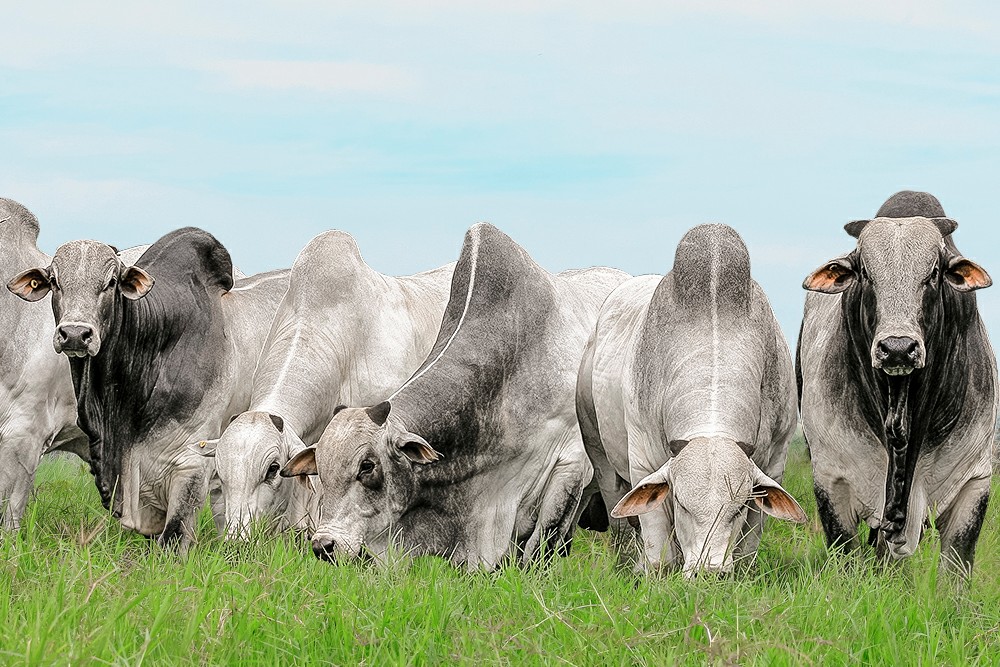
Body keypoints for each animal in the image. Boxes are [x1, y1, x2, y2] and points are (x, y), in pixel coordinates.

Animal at [580, 226, 804, 580]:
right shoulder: (643, 461)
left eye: (738, 508)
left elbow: (748, 549)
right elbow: (660, 556)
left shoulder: (774, 463)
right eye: (683, 504)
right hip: (600, 455)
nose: (708, 571)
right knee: (622, 528)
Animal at [796, 189, 992, 576]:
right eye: (864, 273)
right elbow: (848, 559)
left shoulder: (974, 481)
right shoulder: (831, 481)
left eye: (934, 273)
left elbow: (956, 571)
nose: (898, 348)